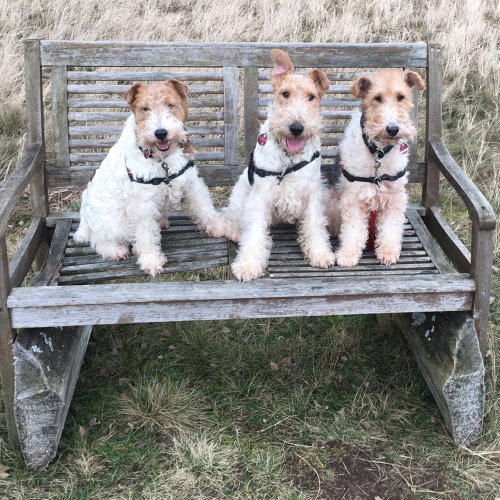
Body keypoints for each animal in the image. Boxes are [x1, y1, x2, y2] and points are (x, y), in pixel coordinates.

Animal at [74, 79, 225, 276]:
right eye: (145, 108)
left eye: (170, 104)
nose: (160, 133)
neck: (163, 160)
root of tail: (84, 218)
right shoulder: (143, 203)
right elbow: (146, 235)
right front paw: (151, 261)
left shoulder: (192, 183)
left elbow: (205, 209)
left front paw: (221, 228)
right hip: (110, 221)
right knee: (100, 240)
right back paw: (116, 251)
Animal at [224, 49, 336, 282]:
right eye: (285, 93)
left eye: (311, 96)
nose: (296, 127)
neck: (290, 158)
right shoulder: (260, 197)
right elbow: (255, 233)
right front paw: (248, 266)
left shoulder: (312, 193)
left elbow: (315, 225)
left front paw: (320, 254)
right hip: (240, 194)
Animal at [328, 69, 426, 270]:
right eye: (377, 98)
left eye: (401, 97)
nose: (393, 129)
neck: (378, 153)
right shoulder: (354, 199)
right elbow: (353, 231)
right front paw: (347, 256)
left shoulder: (395, 197)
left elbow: (390, 229)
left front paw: (387, 253)